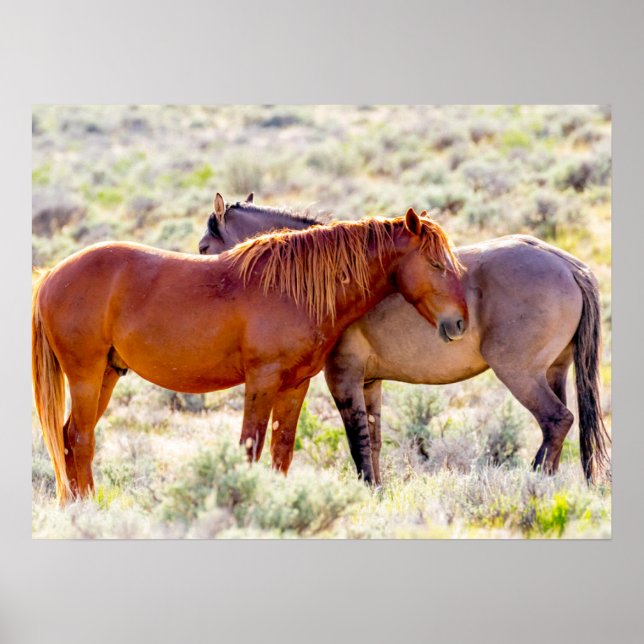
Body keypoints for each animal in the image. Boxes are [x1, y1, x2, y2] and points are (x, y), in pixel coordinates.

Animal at [32, 207, 467, 504]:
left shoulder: (295, 385)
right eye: (435, 263)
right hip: (85, 375)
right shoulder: (262, 380)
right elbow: (251, 446)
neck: (294, 288)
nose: (460, 323)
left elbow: (281, 449)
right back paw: (87, 509)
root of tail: (52, 275)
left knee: (70, 438)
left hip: (107, 375)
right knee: (79, 438)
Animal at [199, 195, 610, 484]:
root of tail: (568, 265)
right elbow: (375, 442)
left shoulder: (343, 377)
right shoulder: (369, 382)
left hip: (519, 374)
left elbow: (358, 443)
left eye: (204, 248)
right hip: (554, 371)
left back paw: (533, 481)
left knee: (556, 421)